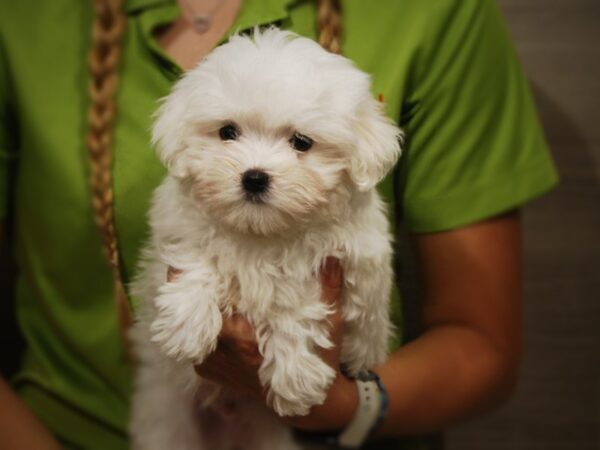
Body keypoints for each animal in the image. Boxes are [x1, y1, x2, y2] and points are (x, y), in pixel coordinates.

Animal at [131, 27, 404, 450]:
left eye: (302, 142)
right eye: (228, 132)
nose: (254, 177)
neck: (261, 232)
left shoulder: (350, 269)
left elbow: (294, 298)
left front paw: (295, 377)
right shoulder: (180, 230)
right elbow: (199, 254)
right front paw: (187, 324)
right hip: (166, 416)